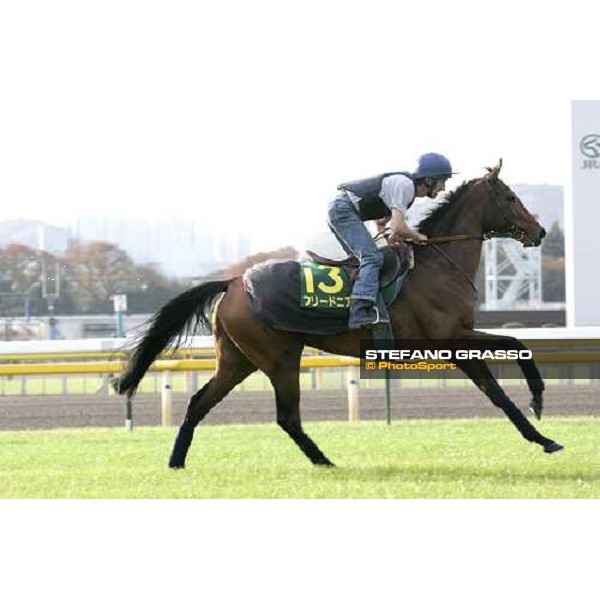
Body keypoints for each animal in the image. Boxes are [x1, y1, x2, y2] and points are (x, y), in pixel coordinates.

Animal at [116, 161, 564, 468]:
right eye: (510, 197)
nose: (539, 232)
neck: (439, 264)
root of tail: (231, 283)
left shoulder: (461, 335)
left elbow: (515, 347)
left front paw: (540, 412)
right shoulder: (448, 343)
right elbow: (499, 387)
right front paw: (541, 426)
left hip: (238, 358)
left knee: (199, 403)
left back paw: (177, 461)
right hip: (278, 357)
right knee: (286, 417)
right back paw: (325, 461)